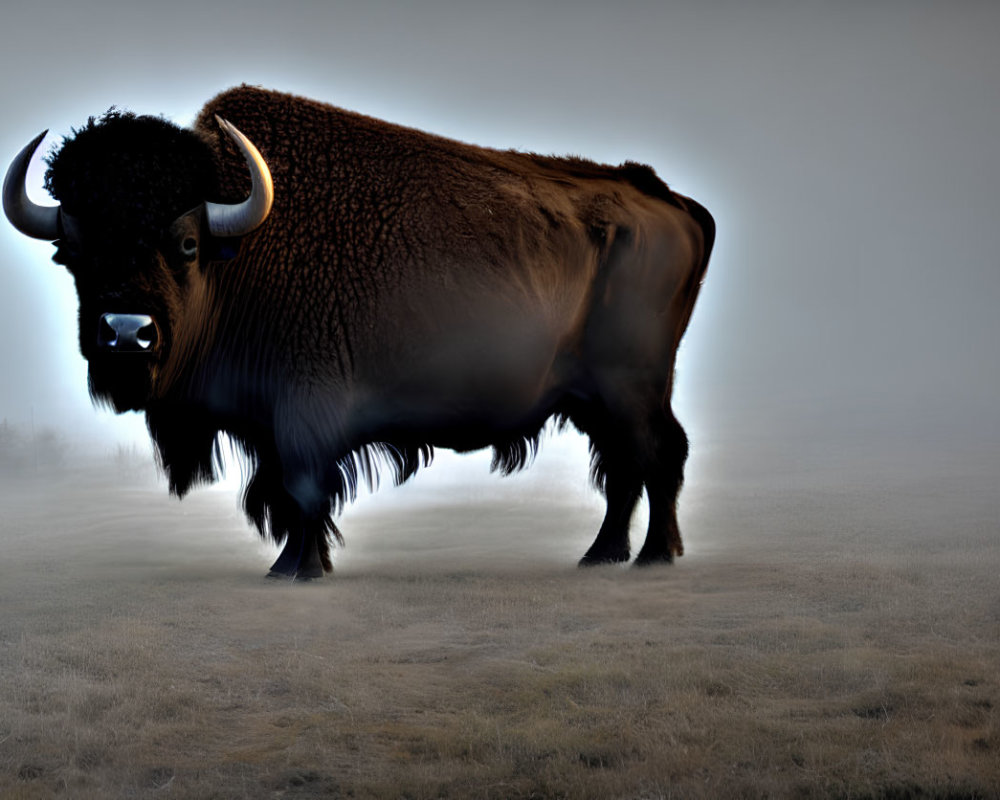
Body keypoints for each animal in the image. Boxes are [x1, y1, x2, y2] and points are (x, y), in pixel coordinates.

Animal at [3, 86, 716, 576]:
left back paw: (655, 556)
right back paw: (603, 555)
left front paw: (299, 570)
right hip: (593, 397)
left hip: (632, 387)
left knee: (658, 453)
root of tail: (668, 199)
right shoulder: (274, 421)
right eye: (71, 251)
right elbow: (288, 493)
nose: (126, 334)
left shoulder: (304, 411)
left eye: (185, 244)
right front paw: (290, 565)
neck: (241, 253)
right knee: (626, 464)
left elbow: (301, 488)